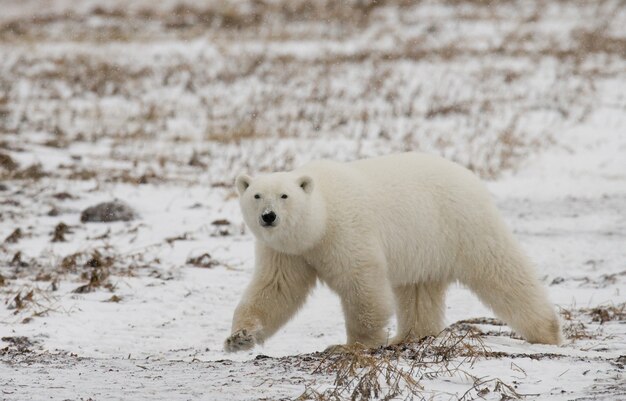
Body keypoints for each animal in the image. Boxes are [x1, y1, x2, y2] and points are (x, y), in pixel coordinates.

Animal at [224, 152, 560, 352]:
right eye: (257, 195)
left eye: (284, 195)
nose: (268, 216)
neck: (320, 218)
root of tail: (468, 176)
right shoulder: (286, 252)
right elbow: (275, 288)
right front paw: (239, 338)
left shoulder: (346, 231)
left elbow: (361, 286)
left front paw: (352, 346)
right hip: (425, 247)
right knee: (418, 291)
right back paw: (409, 337)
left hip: (462, 224)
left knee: (502, 270)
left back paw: (547, 331)